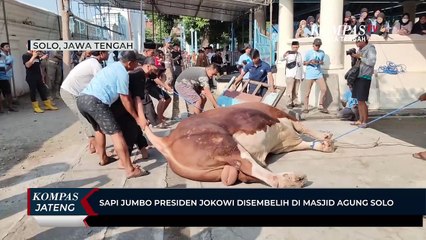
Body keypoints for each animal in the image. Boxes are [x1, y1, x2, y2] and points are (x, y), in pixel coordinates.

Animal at [145, 102, 334, 188]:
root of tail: (167, 141)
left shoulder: (286, 143)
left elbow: (304, 142)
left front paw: (324, 144)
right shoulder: (282, 116)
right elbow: (304, 127)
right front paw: (326, 137)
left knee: (245, 174)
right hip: (224, 142)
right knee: (251, 167)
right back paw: (290, 180)